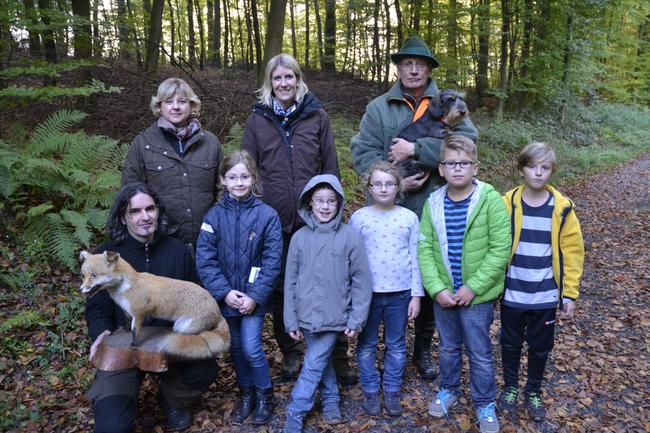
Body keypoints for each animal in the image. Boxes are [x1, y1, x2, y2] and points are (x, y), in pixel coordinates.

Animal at [80, 250, 229, 358]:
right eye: (83, 275)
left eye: (94, 275)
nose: (80, 289)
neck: (127, 288)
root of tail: (218, 311)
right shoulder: (128, 311)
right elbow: (128, 324)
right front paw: (125, 330)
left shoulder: (139, 314)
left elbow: (135, 331)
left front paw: (134, 344)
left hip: (182, 326)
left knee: (197, 334)